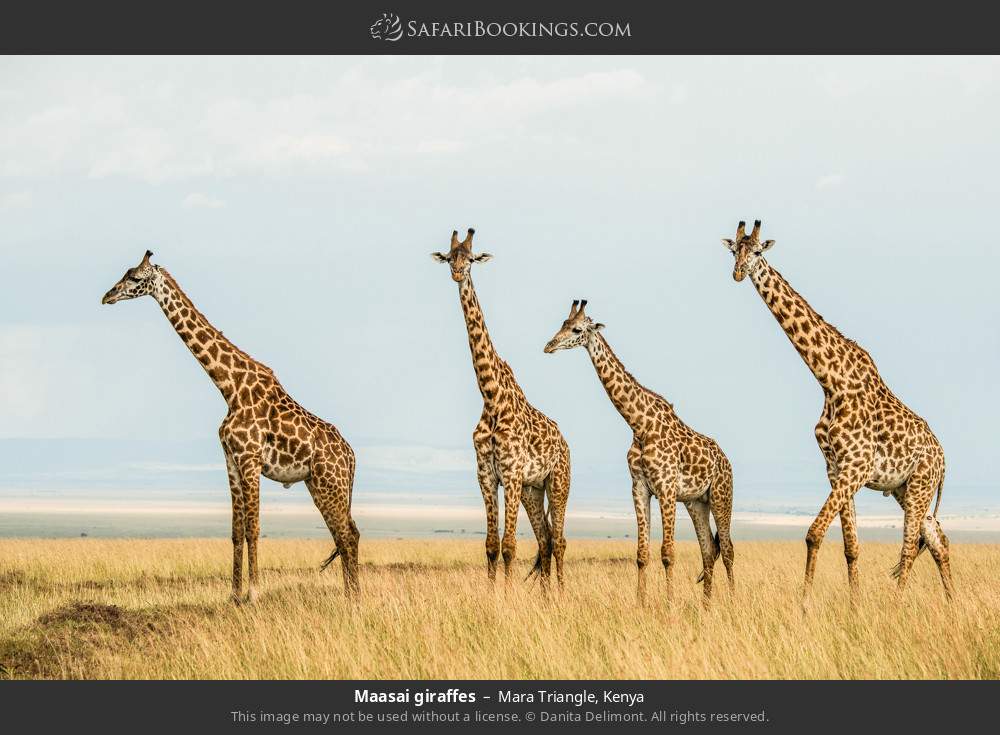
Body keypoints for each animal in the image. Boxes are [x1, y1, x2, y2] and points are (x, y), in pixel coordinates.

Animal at [100, 253, 360, 604]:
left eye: (135, 278)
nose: (107, 296)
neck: (229, 386)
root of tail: (351, 456)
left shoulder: (250, 458)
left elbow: (253, 528)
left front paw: (254, 593)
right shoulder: (231, 460)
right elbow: (236, 531)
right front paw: (234, 595)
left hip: (328, 483)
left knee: (347, 535)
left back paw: (353, 598)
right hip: (321, 484)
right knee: (346, 534)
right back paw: (351, 595)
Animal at [430, 230, 572, 592]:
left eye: (471, 258)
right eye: (450, 258)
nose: (457, 274)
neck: (492, 397)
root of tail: (565, 442)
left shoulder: (511, 473)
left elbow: (509, 546)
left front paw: (507, 596)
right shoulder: (485, 475)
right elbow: (491, 545)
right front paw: (493, 593)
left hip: (558, 481)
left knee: (559, 540)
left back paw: (561, 593)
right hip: (533, 490)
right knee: (545, 540)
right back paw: (545, 596)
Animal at [548, 300, 736, 604]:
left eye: (576, 329)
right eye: (562, 323)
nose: (549, 345)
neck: (639, 424)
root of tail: (726, 460)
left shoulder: (666, 488)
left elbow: (668, 553)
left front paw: (669, 604)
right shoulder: (639, 487)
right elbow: (642, 553)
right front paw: (641, 603)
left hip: (721, 495)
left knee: (728, 549)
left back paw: (730, 599)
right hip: (697, 502)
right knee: (708, 550)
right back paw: (706, 604)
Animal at [720, 221, 952, 600]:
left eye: (756, 251)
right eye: (733, 251)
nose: (738, 273)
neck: (830, 380)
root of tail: (943, 459)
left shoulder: (855, 468)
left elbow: (813, 533)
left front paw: (804, 603)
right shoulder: (835, 469)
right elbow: (851, 547)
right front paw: (854, 604)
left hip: (920, 484)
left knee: (909, 547)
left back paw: (898, 603)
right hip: (905, 489)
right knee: (938, 541)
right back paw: (950, 603)